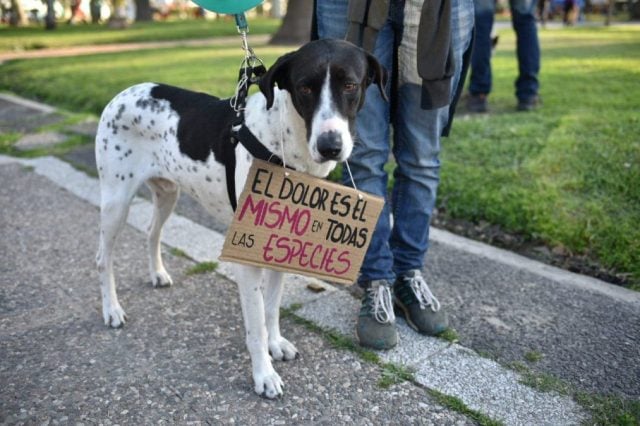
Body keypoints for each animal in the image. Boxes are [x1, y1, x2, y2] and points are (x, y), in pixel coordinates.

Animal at [94, 38, 384, 398]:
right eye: (305, 87)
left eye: (350, 85)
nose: (330, 146)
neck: (284, 140)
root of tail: (123, 93)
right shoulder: (246, 258)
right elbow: (256, 324)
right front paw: (264, 375)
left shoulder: (278, 247)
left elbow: (271, 308)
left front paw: (276, 344)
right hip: (116, 201)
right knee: (103, 258)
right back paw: (112, 310)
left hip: (168, 193)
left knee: (151, 232)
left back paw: (157, 274)